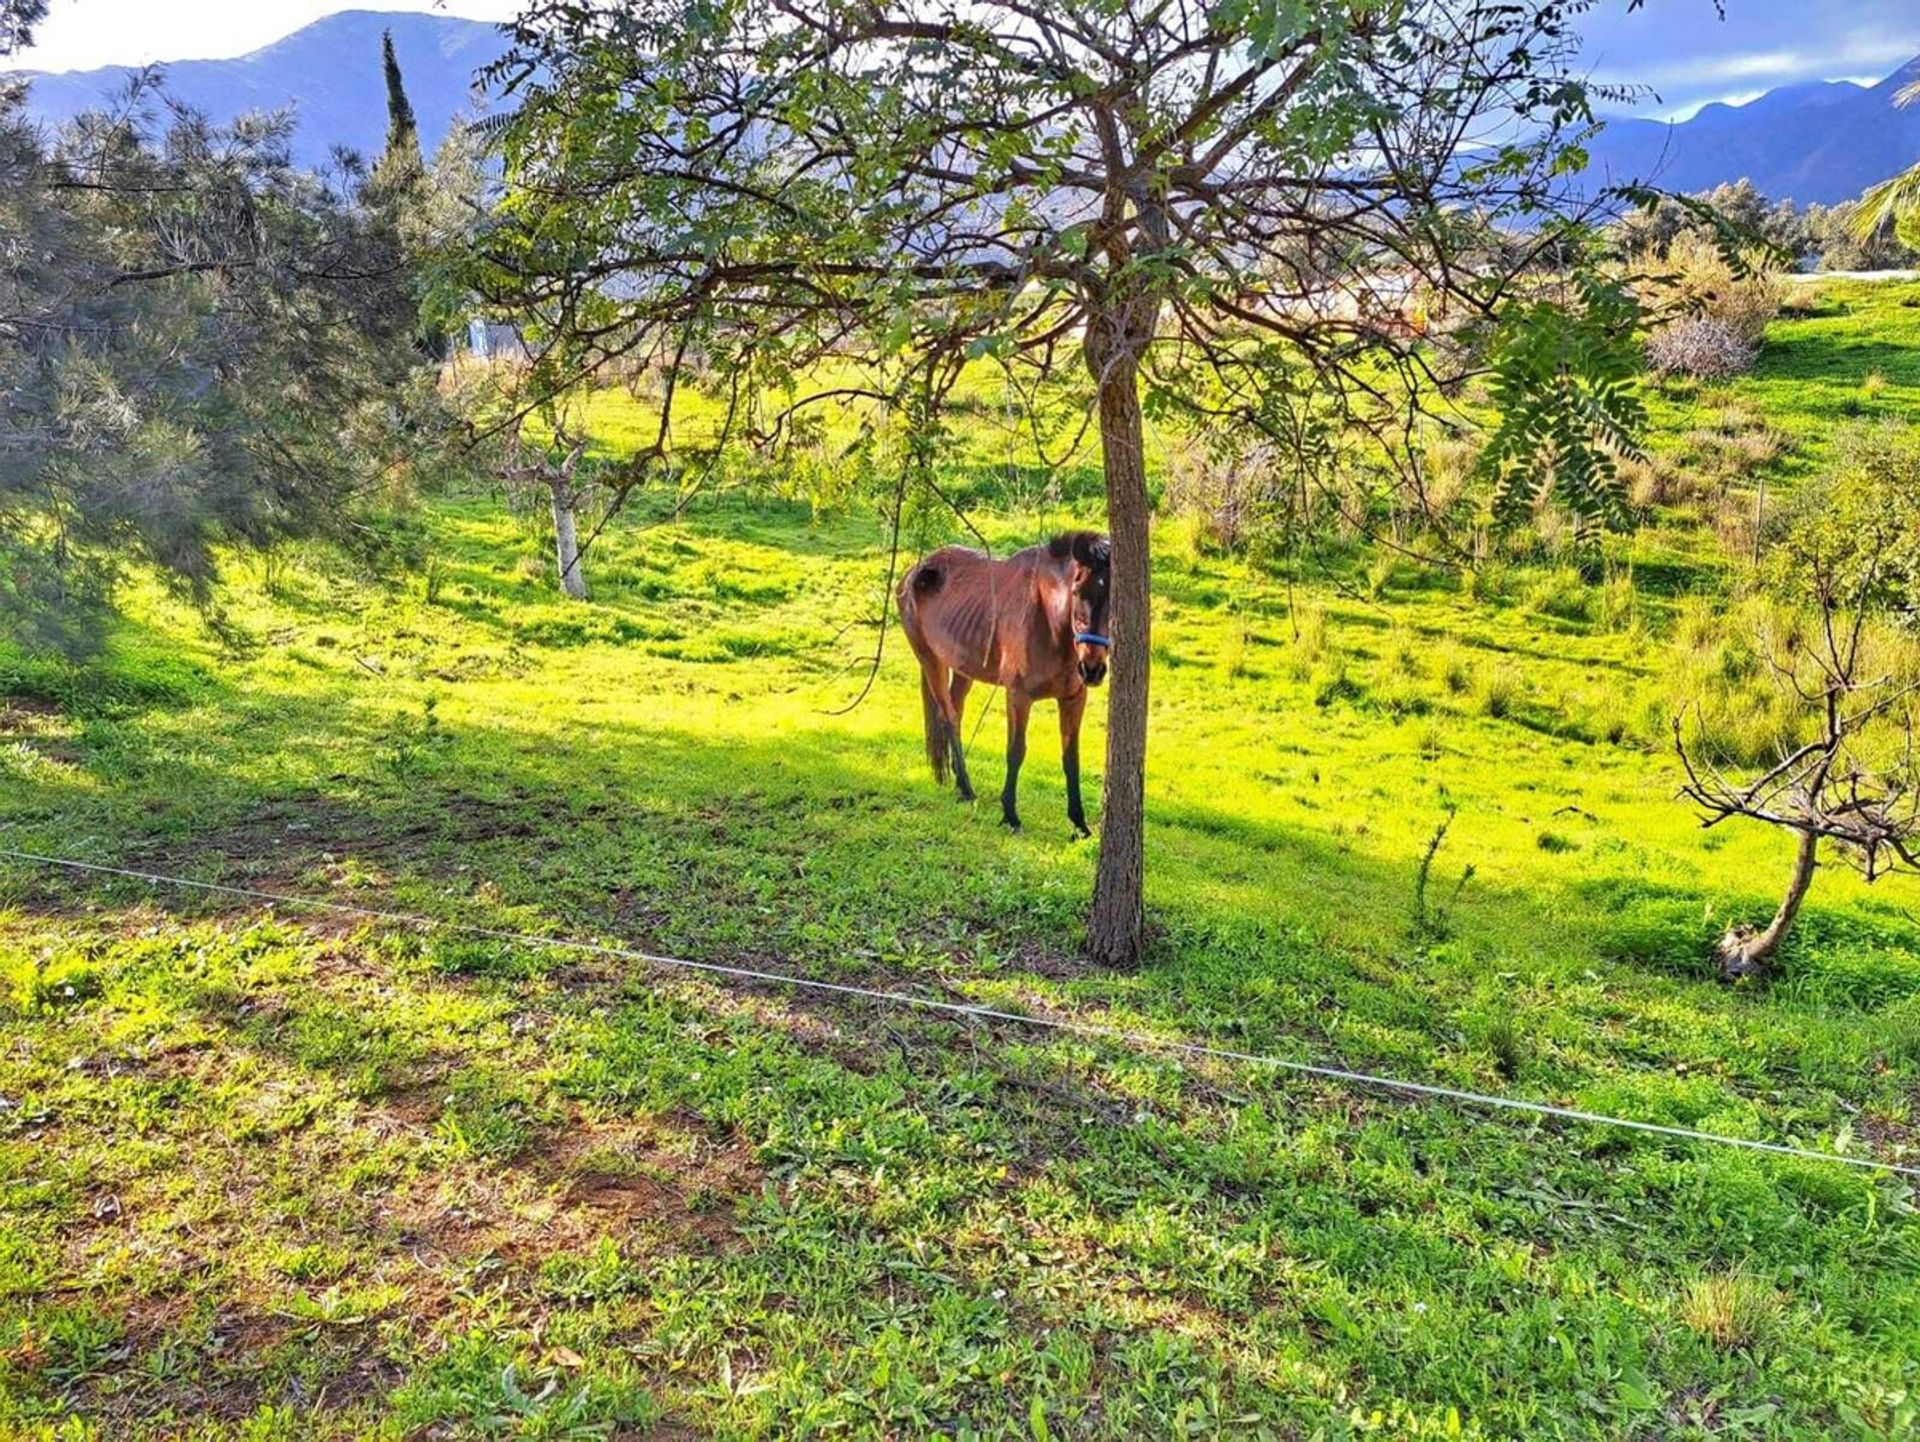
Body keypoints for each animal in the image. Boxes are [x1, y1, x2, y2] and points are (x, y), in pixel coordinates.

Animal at [894, 529, 1113, 833]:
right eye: (1078, 592)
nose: (1092, 669)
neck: (1048, 620)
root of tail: (912, 573)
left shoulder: (1073, 698)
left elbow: (1071, 758)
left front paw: (1079, 822)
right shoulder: (1018, 696)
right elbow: (1015, 751)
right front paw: (1010, 815)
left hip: (962, 668)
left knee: (955, 713)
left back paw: (960, 783)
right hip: (930, 661)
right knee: (948, 716)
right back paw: (967, 789)